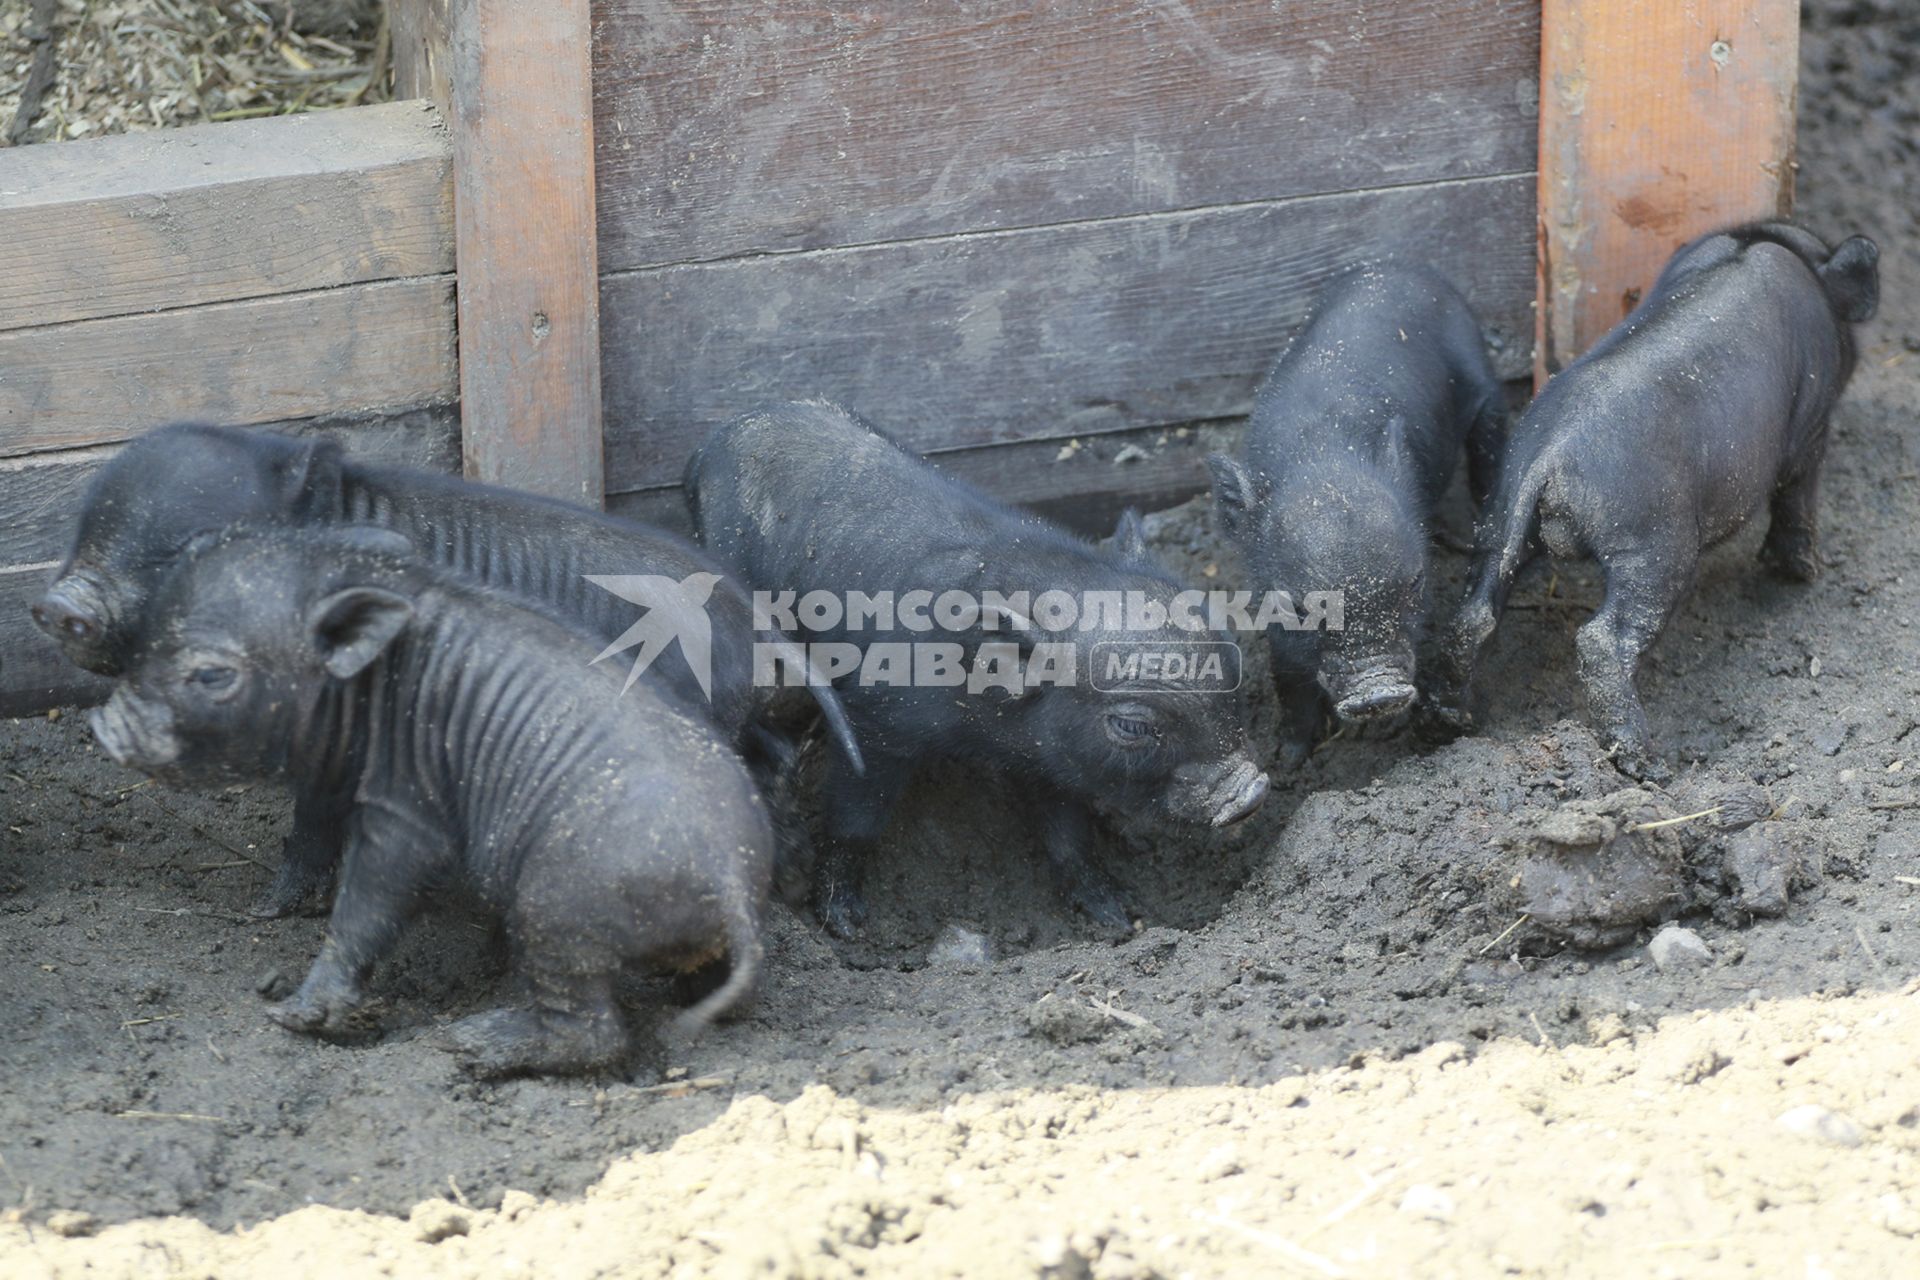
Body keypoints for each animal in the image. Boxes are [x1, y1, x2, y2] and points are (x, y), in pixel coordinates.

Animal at [28, 426, 856, 917]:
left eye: (191, 547)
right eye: (87, 527)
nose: (57, 604)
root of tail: (752, 618)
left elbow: (313, 824)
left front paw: (269, 909)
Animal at [88, 525, 764, 1074]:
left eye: (210, 674)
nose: (106, 723)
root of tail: (731, 881)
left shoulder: (406, 806)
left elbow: (366, 904)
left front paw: (288, 1017)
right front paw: (267, 912)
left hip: (559, 907)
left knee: (594, 1035)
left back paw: (469, 1044)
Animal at [683, 401, 1267, 940]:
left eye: (1234, 667)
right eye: (1131, 725)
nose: (1251, 792)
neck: (986, 734)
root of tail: (721, 435)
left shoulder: (1048, 755)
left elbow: (1067, 831)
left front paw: (1117, 917)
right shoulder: (875, 721)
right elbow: (856, 819)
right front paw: (847, 927)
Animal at [1205, 264, 1505, 767]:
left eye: (1416, 584)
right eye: (1297, 606)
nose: (1377, 692)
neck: (1323, 456)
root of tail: (1400, 266)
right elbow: (1288, 679)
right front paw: (1288, 762)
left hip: (1483, 382)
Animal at [1436, 224, 1881, 775]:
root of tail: (1549, 458)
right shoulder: (1810, 434)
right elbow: (1797, 504)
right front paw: (1805, 575)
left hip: (1498, 514)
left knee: (1471, 616)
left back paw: (1457, 720)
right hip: (1653, 544)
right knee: (1603, 640)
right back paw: (1649, 764)